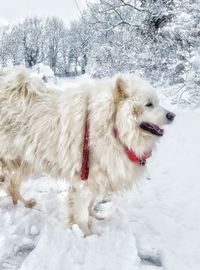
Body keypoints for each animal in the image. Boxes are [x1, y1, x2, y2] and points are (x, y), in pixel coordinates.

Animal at [0, 68, 175, 235]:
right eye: (149, 104)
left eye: (157, 103)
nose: (172, 115)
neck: (112, 126)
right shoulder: (83, 181)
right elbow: (81, 213)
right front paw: (86, 234)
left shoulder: (96, 177)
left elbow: (90, 206)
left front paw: (95, 219)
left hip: (22, 162)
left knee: (12, 186)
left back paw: (26, 204)